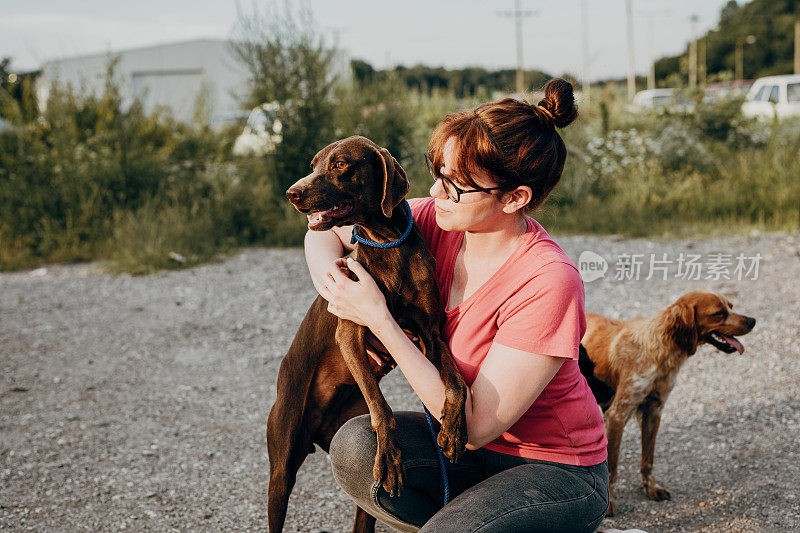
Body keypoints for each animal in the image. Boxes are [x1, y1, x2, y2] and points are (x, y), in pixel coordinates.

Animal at [268, 135, 468, 528]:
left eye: (341, 164)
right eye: (313, 164)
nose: (291, 193)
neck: (388, 245)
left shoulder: (431, 335)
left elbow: (455, 385)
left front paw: (452, 430)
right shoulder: (351, 330)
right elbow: (383, 407)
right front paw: (390, 454)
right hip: (281, 466)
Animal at [580, 290, 752, 516]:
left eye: (731, 306)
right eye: (718, 313)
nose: (753, 321)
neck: (659, 351)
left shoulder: (654, 411)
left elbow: (648, 460)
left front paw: (651, 489)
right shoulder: (617, 414)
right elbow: (611, 467)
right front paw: (609, 504)